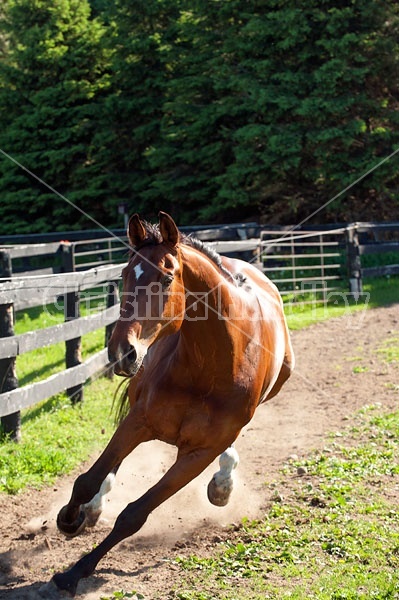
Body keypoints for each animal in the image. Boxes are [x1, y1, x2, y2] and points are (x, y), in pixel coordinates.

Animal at [50, 211, 294, 596]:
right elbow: (88, 480)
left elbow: (135, 514)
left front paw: (76, 571)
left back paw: (222, 485)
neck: (209, 367)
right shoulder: (138, 421)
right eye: (125, 275)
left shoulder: (198, 454)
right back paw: (94, 508)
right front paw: (71, 518)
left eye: (166, 278)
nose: (123, 352)